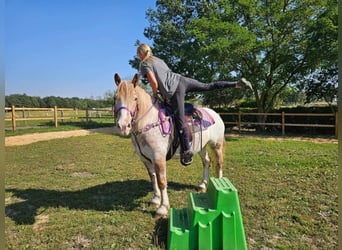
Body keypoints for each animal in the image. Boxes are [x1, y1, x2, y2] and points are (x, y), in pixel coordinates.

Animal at [113, 73, 227, 218]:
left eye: (135, 98)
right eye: (115, 98)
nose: (123, 126)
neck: (150, 123)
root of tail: (215, 114)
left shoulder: (158, 157)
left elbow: (162, 181)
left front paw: (163, 208)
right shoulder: (146, 159)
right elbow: (153, 178)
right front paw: (155, 200)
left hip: (216, 144)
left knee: (219, 163)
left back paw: (219, 185)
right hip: (201, 146)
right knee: (206, 162)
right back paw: (202, 185)